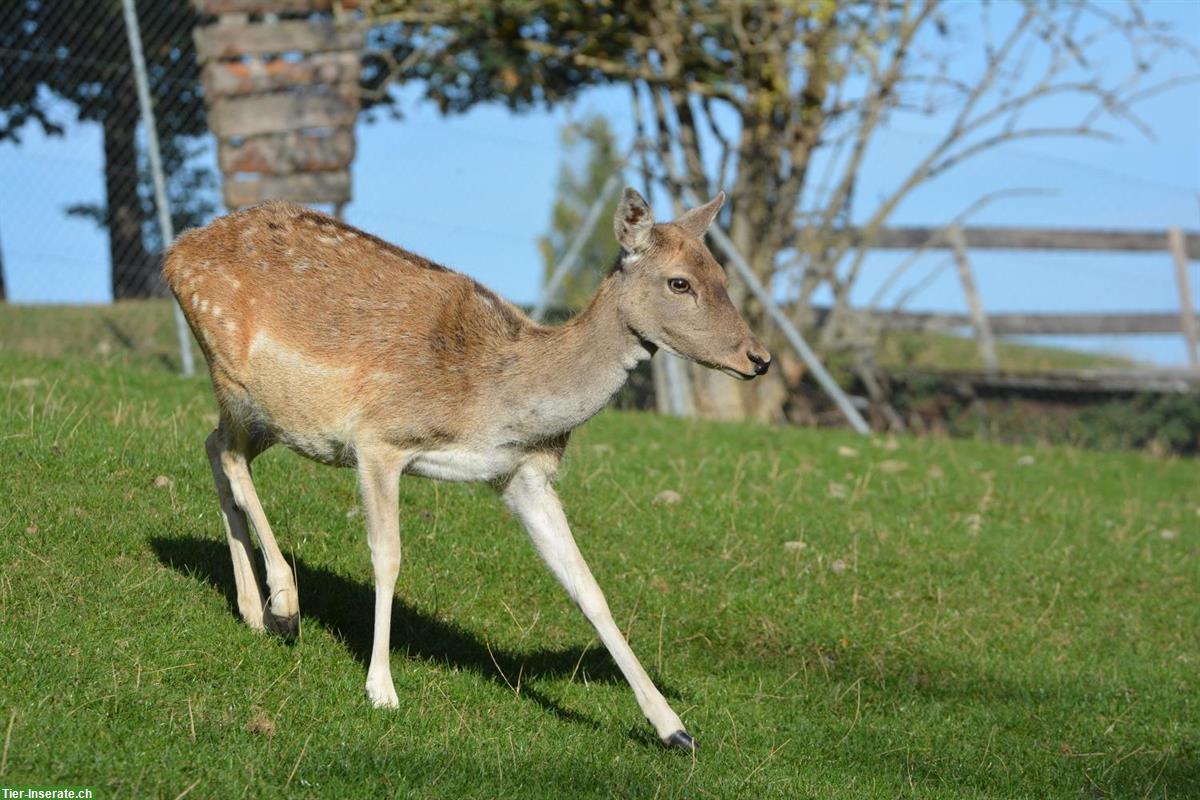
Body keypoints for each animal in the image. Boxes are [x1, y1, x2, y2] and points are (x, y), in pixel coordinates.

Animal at [162, 188, 768, 753]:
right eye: (679, 283)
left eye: (721, 275)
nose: (758, 358)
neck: (499, 398)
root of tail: (176, 251)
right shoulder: (379, 439)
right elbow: (388, 557)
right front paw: (381, 689)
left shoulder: (521, 475)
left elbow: (587, 586)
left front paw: (674, 729)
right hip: (241, 379)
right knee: (229, 455)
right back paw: (285, 606)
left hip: (280, 418)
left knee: (216, 446)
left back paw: (252, 608)